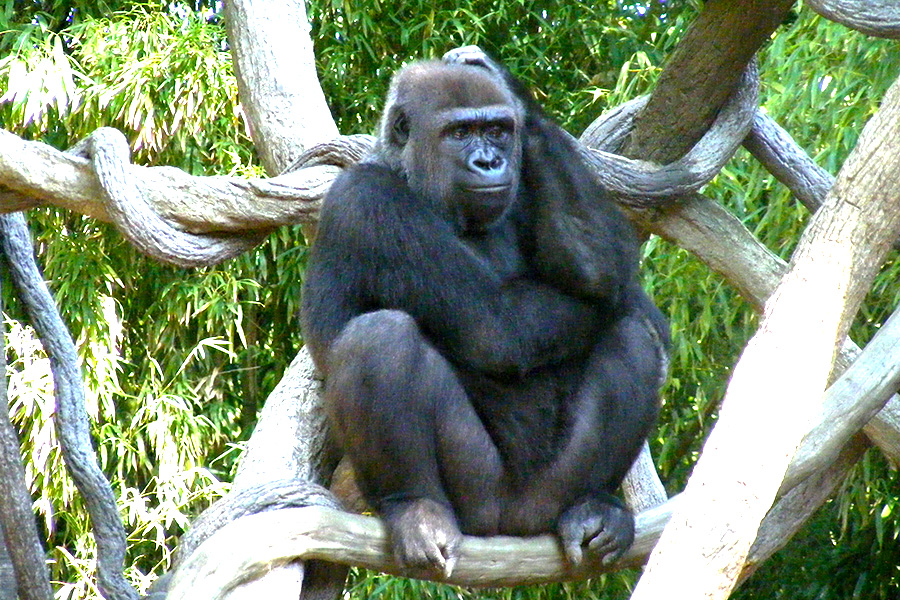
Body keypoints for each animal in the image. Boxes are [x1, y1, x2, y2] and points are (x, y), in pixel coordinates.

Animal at [302, 45, 668, 576]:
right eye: (459, 133)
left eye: (497, 130)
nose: (490, 162)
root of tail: (512, 524)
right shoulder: (366, 201)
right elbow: (496, 327)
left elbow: (605, 267)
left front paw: (515, 93)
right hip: (477, 499)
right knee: (379, 336)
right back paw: (415, 507)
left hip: (548, 497)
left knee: (631, 335)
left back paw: (595, 505)